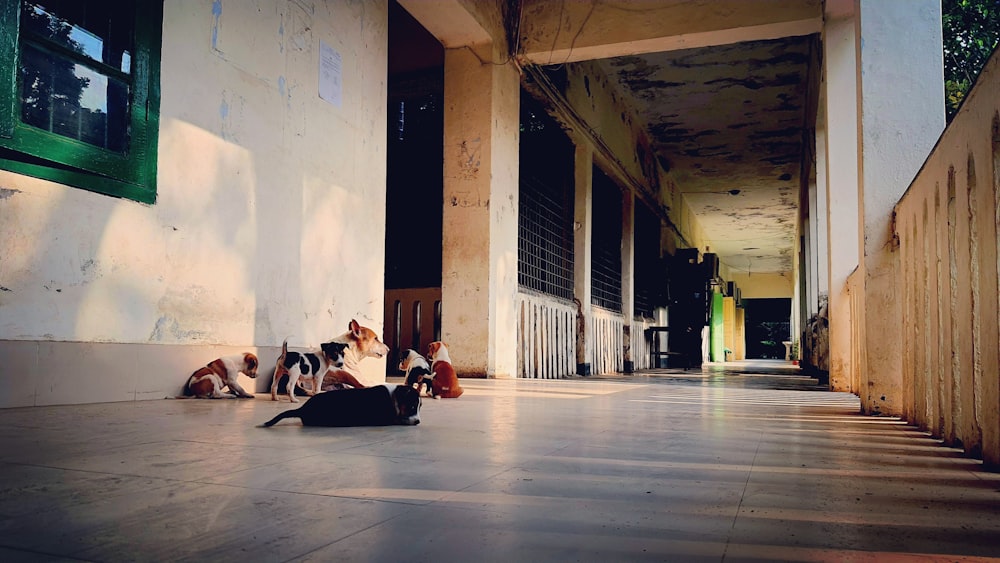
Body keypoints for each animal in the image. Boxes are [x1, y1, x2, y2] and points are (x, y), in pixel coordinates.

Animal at [260, 384, 420, 428]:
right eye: (412, 407)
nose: (418, 421)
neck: (394, 397)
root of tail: (303, 409)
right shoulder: (385, 418)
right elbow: (397, 419)